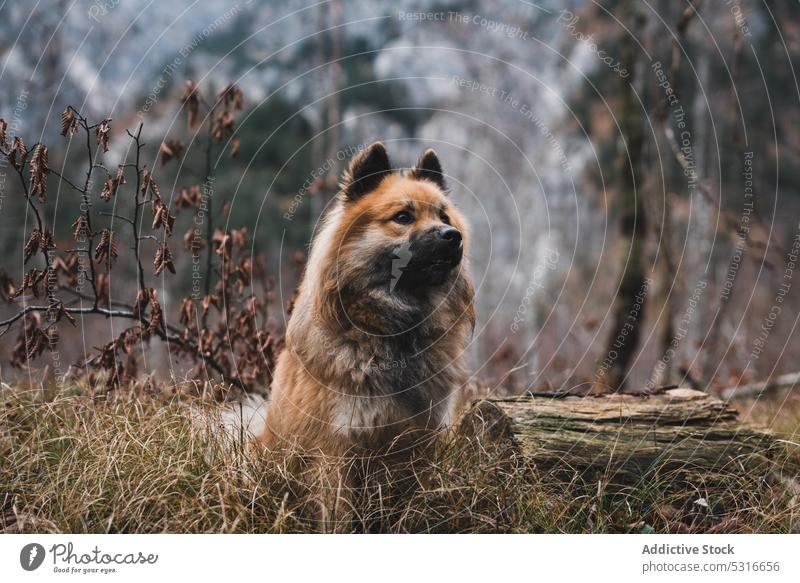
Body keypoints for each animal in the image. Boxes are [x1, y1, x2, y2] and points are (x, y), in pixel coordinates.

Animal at [258, 143, 476, 460]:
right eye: (403, 217)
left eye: (443, 217)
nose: (453, 236)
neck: (395, 327)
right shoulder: (338, 440)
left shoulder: (425, 434)